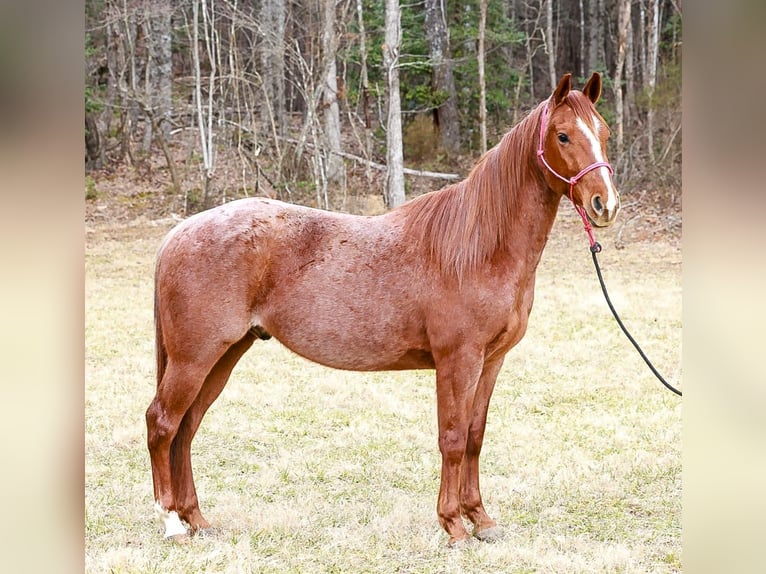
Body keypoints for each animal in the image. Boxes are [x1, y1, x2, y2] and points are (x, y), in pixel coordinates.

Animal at [146, 72, 620, 546]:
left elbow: (474, 437)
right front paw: (453, 525)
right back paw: (170, 522)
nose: (606, 205)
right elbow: (451, 438)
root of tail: (179, 233)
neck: (479, 248)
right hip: (194, 359)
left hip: (224, 355)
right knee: (163, 423)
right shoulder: (458, 361)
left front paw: (481, 520)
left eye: (604, 134)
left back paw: (196, 519)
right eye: (563, 135)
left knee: (186, 429)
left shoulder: (491, 362)